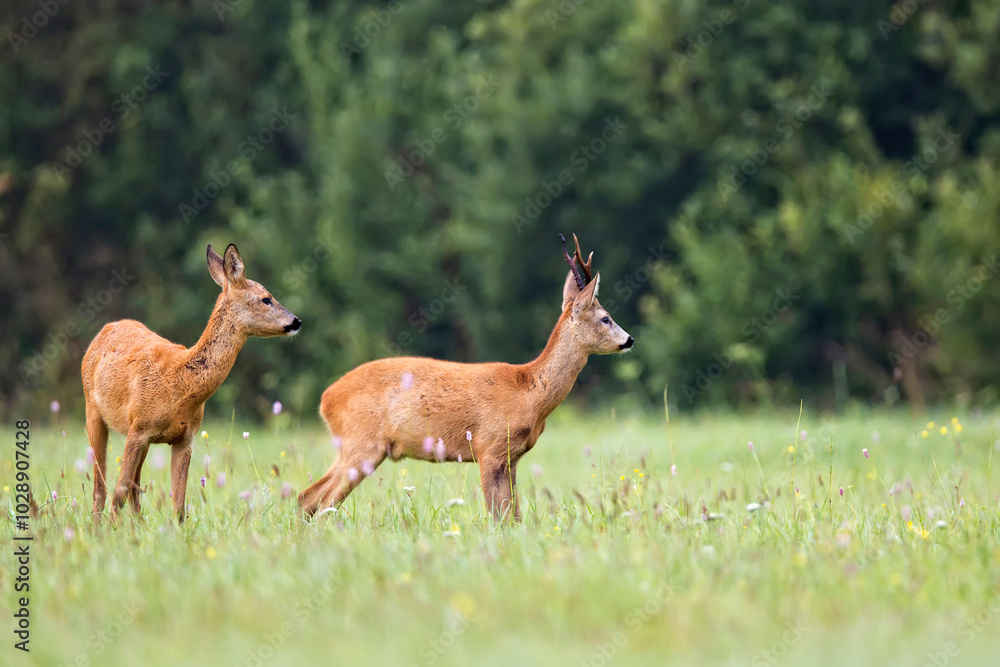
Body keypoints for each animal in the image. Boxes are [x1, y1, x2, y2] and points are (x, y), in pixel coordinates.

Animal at [81, 243, 301, 523]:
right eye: (266, 298)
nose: (296, 321)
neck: (181, 385)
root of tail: (105, 329)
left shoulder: (185, 438)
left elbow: (178, 504)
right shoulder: (138, 429)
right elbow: (118, 491)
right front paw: (112, 529)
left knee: (134, 487)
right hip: (93, 411)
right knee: (101, 485)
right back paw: (99, 525)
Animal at [298, 234, 633, 521]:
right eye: (606, 318)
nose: (629, 340)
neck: (529, 392)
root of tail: (325, 400)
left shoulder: (511, 457)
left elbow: (514, 516)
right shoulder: (489, 447)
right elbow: (497, 516)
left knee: (308, 497)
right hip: (361, 443)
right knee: (322, 500)